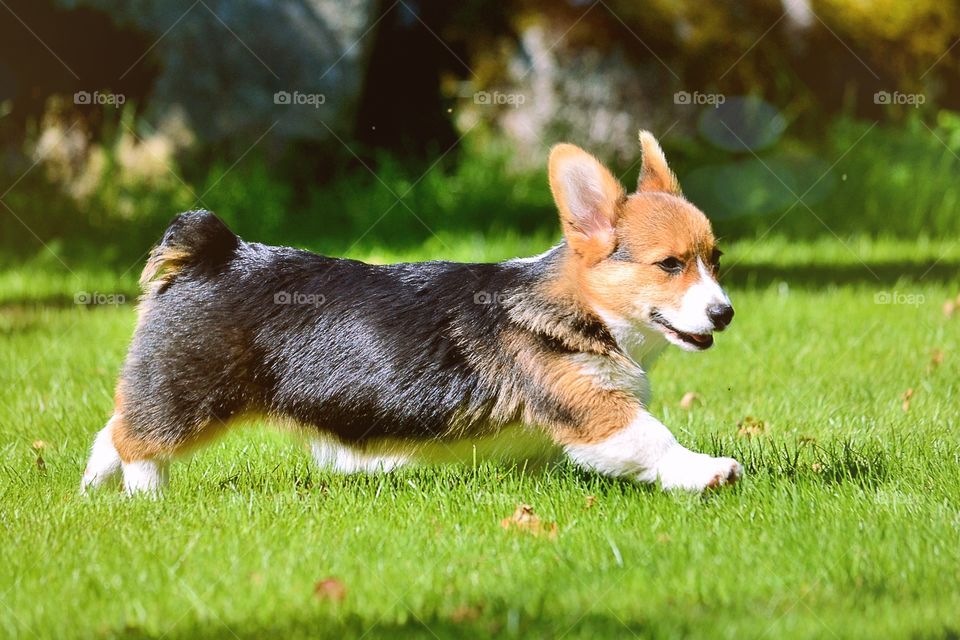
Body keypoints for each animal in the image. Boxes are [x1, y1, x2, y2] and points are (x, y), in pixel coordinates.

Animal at [82, 131, 744, 496]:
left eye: (715, 260)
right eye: (670, 265)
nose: (725, 313)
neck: (588, 311)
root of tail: (213, 251)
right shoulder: (592, 408)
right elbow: (654, 440)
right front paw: (707, 472)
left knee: (112, 429)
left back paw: (93, 492)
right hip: (191, 392)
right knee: (137, 440)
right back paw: (146, 497)